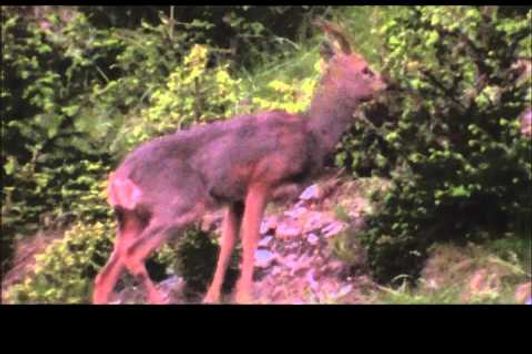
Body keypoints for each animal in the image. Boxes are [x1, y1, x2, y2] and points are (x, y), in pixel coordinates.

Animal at [93, 21, 386, 304]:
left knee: (104, 275)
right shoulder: (261, 180)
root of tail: (119, 179)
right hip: (177, 205)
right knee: (133, 255)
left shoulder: (235, 199)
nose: (388, 84)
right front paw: (245, 295)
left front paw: (212, 297)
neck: (312, 134)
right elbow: (250, 239)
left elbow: (226, 247)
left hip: (130, 219)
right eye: (365, 70)